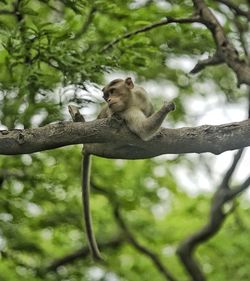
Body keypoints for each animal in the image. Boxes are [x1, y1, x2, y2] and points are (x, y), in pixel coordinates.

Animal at [81, 77, 175, 260]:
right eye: (105, 96)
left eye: (112, 91)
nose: (109, 100)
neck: (132, 101)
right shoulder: (127, 112)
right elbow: (143, 129)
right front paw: (166, 107)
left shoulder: (143, 96)